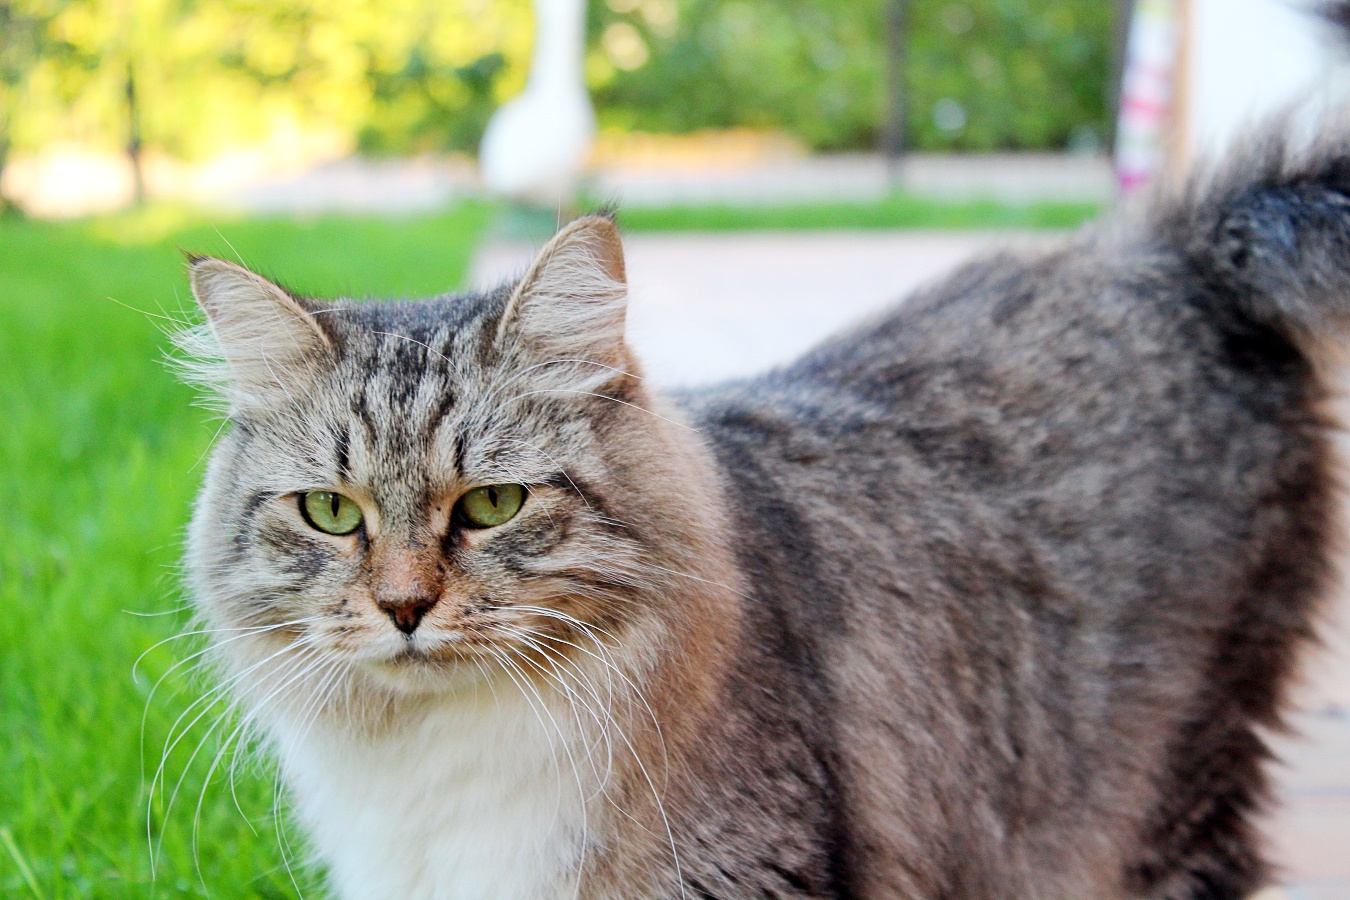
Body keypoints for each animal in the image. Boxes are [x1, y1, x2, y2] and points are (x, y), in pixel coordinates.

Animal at [184, 84, 1350, 900]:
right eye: (333, 514)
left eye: (491, 507)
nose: (404, 607)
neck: (439, 763)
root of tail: (1165, 251)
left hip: (1168, 785)